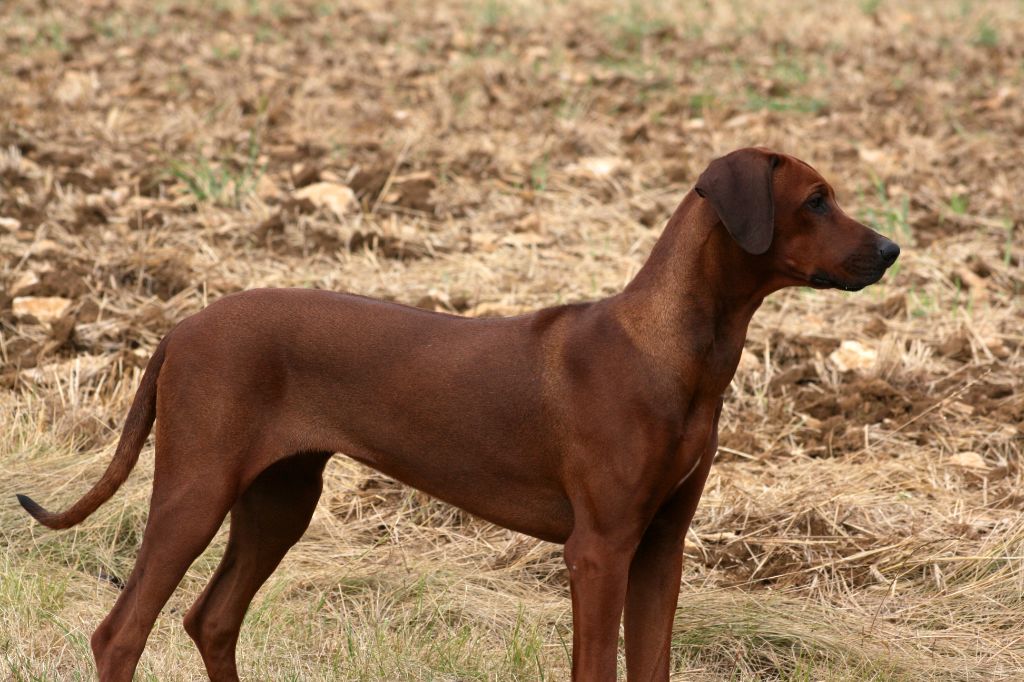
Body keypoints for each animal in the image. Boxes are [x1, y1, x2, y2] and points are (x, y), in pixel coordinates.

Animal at [14, 146, 897, 675]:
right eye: (816, 200)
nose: (892, 249)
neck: (672, 346)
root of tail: (182, 325)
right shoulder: (599, 551)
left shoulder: (660, 550)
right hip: (195, 489)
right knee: (121, 631)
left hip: (279, 500)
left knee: (212, 619)